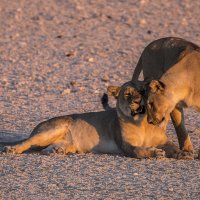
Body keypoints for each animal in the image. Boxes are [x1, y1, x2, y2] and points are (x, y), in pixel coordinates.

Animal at [1, 80, 179, 159]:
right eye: (127, 94)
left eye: (142, 91)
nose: (136, 101)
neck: (142, 124)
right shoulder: (126, 146)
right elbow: (139, 151)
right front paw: (155, 152)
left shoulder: (163, 140)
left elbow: (173, 146)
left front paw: (182, 153)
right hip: (51, 129)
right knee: (28, 142)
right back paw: (12, 149)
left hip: (68, 144)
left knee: (48, 148)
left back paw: (57, 150)